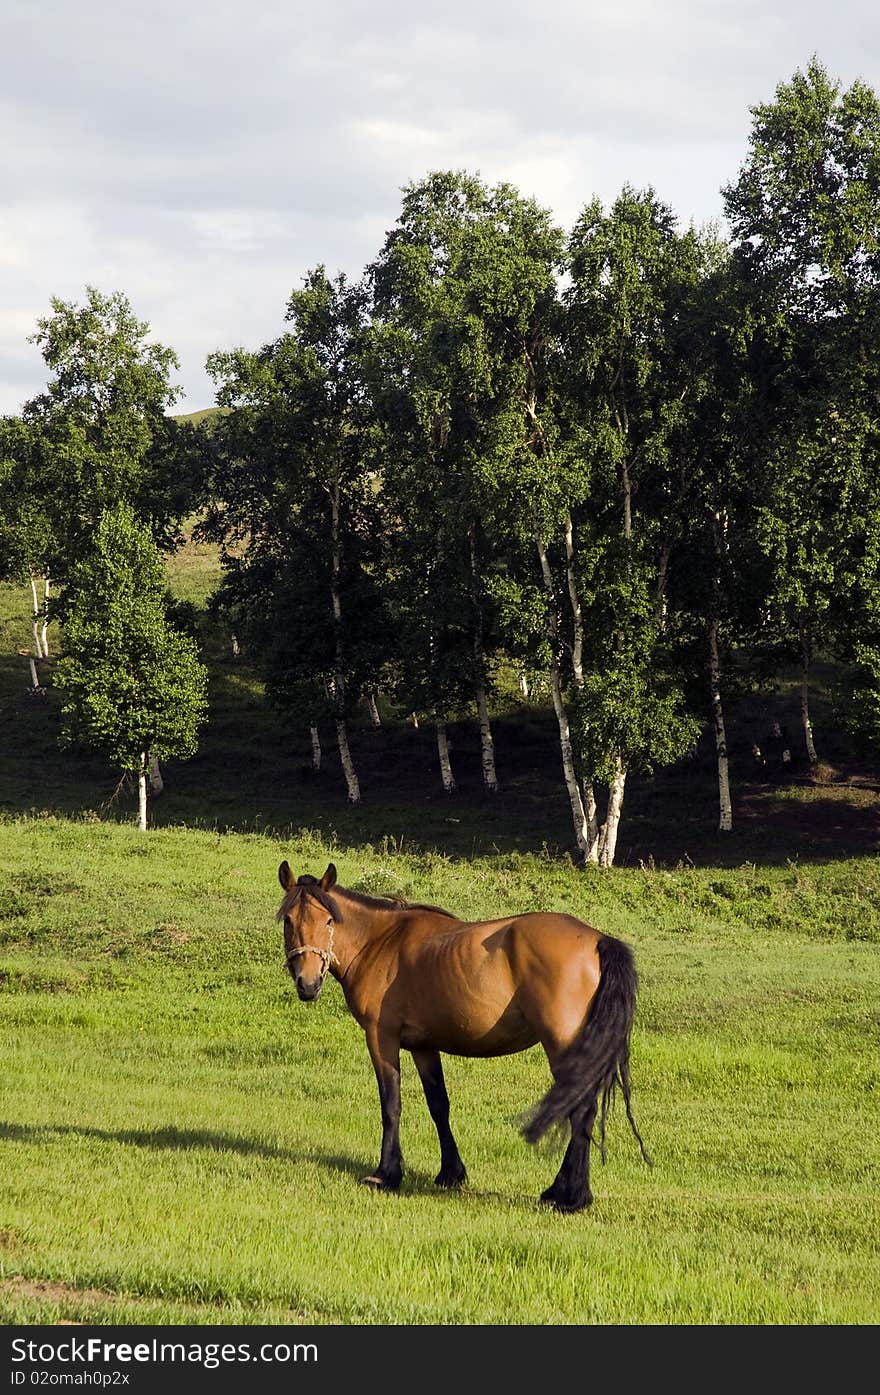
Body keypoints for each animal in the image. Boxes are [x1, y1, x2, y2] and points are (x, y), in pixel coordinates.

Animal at [278, 859, 649, 1210]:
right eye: (288, 921)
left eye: (328, 921)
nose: (308, 984)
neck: (380, 942)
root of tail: (597, 939)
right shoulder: (424, 1047)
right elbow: (438, 1105)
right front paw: (450, 1173)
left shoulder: (382, 1039)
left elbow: (391, 1104)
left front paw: (386, 1174)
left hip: (563, 1047)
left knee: (580, 1111)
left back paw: (569, 1197)